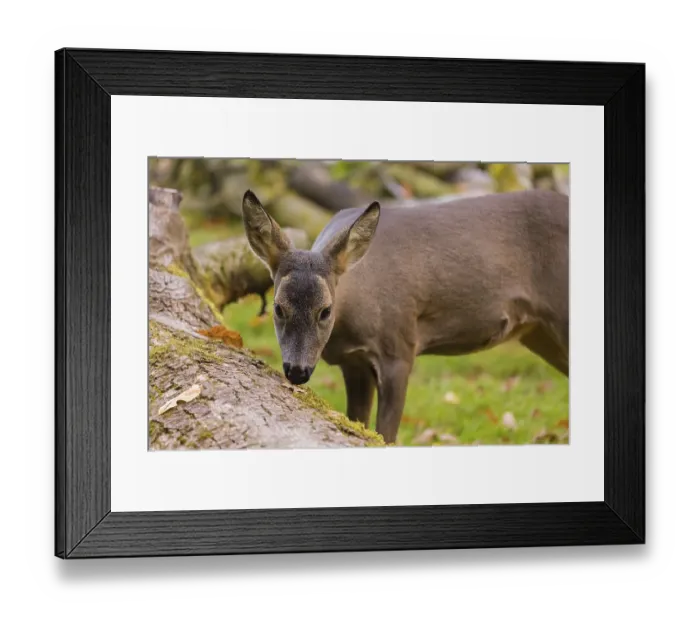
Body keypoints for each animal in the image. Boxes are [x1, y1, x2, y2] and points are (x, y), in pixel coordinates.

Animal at [241, 188, 569, 444]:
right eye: (278, 308)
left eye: (325, 310)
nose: (297, 370)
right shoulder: (353, 363)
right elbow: (359, 420)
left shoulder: (398, 347)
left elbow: (387, 435)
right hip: (539, 332)